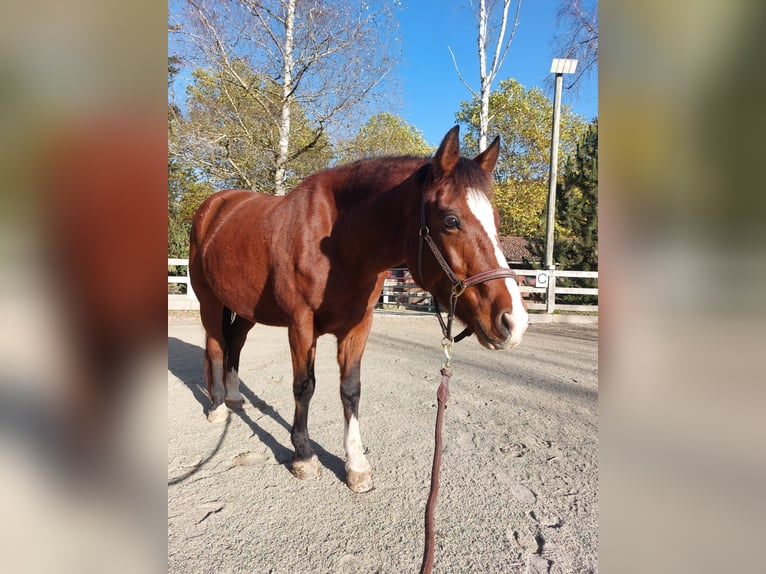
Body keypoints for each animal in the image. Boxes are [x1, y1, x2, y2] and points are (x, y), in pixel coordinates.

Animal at [189, 127, 532, 496]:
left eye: (496, 220)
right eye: (451, 220)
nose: (514, 321)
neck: (336, 242)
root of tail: (215, 206)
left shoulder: (358, 326)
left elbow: (350, 389)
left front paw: (356, 466)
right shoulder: (301, 324)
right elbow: (304, 386)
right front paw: (304, 456)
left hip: (247, 308)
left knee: (235, 343)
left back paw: (235, 397)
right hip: (210, 302)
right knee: (217, 347)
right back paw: (218, 407)